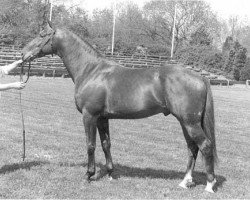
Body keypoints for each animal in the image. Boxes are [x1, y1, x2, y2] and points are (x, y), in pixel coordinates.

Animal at [21, 21, 217, 192]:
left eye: (42, 35)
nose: (23, 53)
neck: (91, 70)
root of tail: (200, 77)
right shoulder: (102, 118)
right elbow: (106, 144)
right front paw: (110, 173)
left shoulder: (89, 115)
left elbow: (90, 145)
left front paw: (88, 175)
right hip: (185, 123)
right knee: (192, 148)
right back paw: (185, 182)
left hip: (190, 122)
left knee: (205, 145)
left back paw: (209, 185)